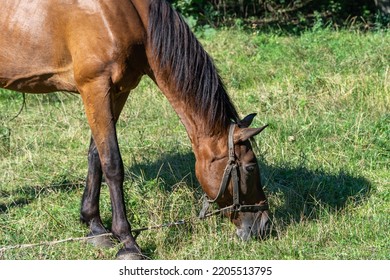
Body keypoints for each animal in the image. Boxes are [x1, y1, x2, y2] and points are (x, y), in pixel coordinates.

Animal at [0, 0, 270, 260]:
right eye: (250, 167)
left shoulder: (117, 92)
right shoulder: (95, 88)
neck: (123, 18)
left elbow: (96, 156)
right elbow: (112, 164)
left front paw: (95, 227)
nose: (263, 226)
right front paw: (127, 242)